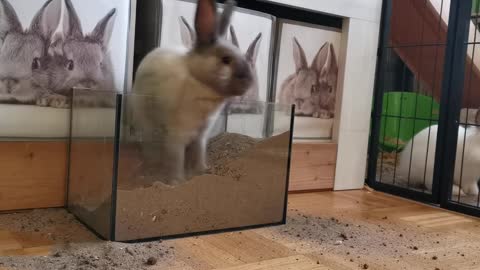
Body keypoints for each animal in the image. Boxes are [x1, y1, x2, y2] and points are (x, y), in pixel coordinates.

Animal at [129, 0, 253, 186]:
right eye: (225, 60)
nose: (250, 81)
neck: (198, 82)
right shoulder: (177, 136)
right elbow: (176, 159)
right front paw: (177, 182)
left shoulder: (201, 137)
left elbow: (199, 154)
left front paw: (202, 172)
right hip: (148, 125)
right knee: (152, 148)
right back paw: (152, 168)